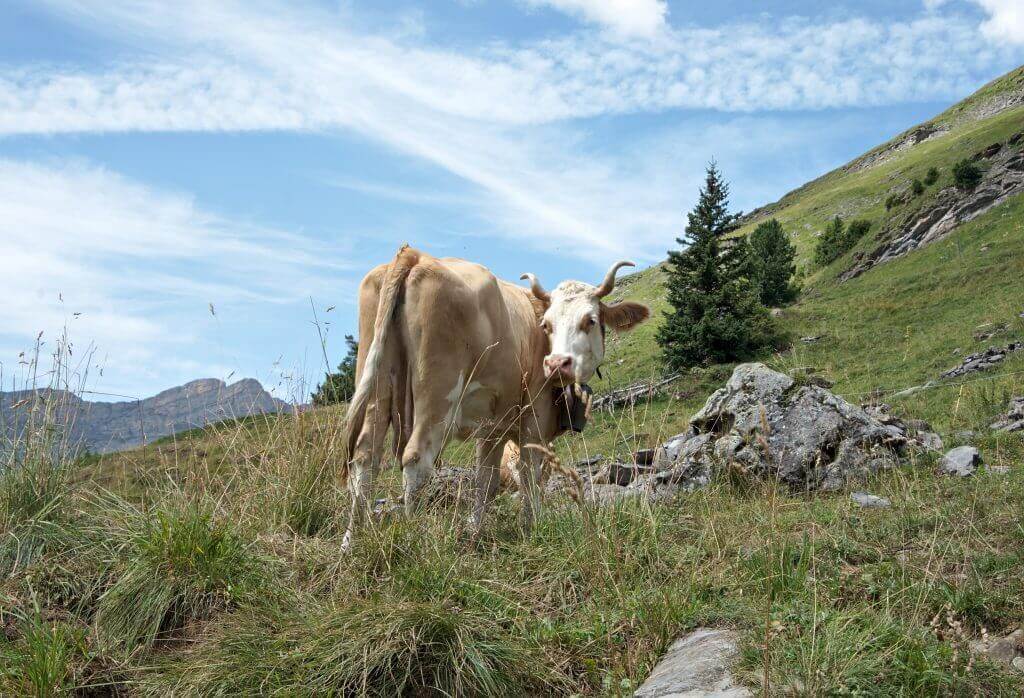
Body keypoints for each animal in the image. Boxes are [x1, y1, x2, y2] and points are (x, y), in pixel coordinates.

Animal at [342, 243, 647, 544]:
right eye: (547, 325)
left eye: (590, 320)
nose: (556, 363)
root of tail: (416, 256)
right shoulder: (534, 421)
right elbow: (530, 476)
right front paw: (531, 528)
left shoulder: (493, 429)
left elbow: (485, 482)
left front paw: (475, 532)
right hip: (437, 396)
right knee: (416, 459)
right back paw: (413, 538)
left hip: (378, 386)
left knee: (365, 457)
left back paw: (351, 540)